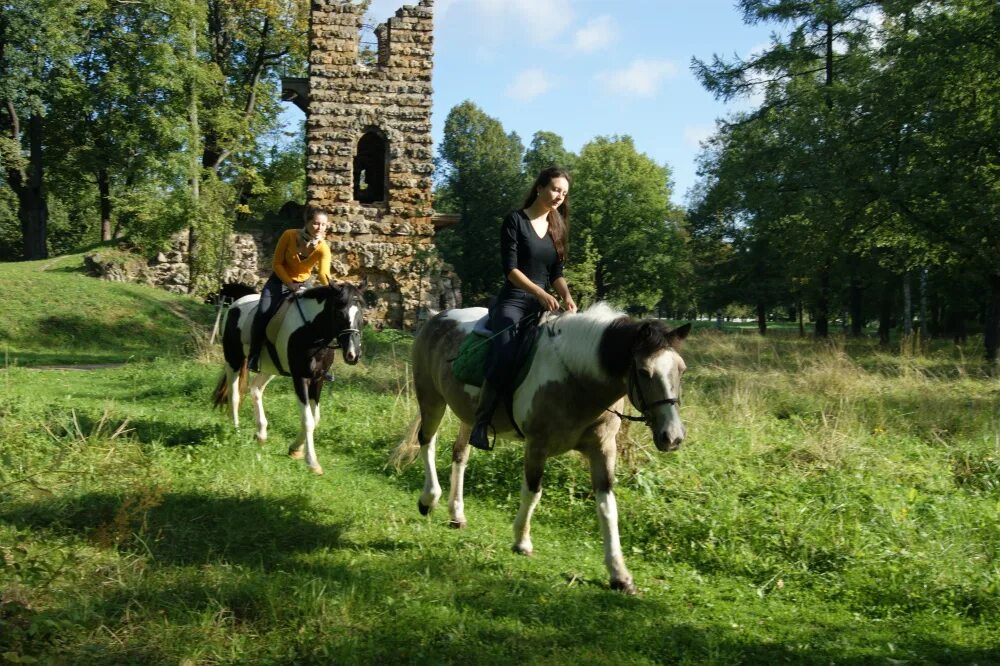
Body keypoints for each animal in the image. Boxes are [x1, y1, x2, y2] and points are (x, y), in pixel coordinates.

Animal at [212, 280, 368, 472]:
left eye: (361, 314)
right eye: (340, 313)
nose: (353, 355)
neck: (311, 330)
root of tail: (235, 304)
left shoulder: (318, 379)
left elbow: (315, 418)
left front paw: (295, 448)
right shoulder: (300, 378)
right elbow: (308, 420)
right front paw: (312, 461)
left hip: (270, 368)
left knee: (256, 389)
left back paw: (261, 433)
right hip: (233, 359)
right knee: (234, 396)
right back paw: (237, 432)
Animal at [396, 302, 688, 592]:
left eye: (681, 369)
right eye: (644, 372)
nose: (672, 437)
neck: (576, 378)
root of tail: (438, 316)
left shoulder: (603, 449)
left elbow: (607, 507)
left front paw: (619, 574)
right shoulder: (538, 444)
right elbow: (533, 492)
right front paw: (522, 542)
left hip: (469, 416)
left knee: (460, 456)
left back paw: (457, 515)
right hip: (431, 397)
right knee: (427, 442)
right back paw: (428, 499)